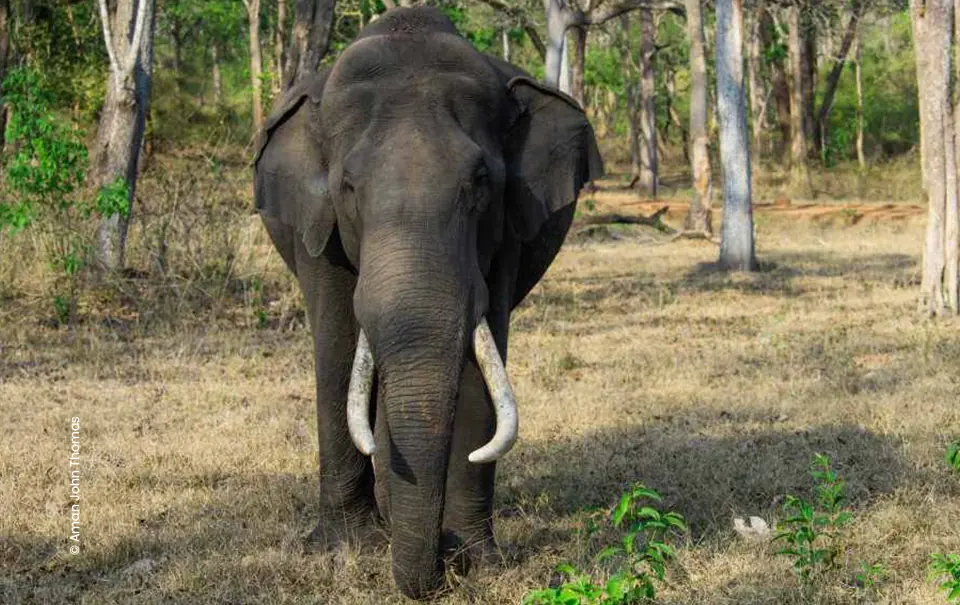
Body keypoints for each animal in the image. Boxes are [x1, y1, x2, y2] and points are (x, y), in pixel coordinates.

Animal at [253, 6, 602, 599]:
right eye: (348, 187)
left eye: (481, 181)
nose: (440, 573)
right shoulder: (314, 226)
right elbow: (337, 347)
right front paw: (348, 551)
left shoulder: (505, 233)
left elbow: (479, 359)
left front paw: (477, 563)